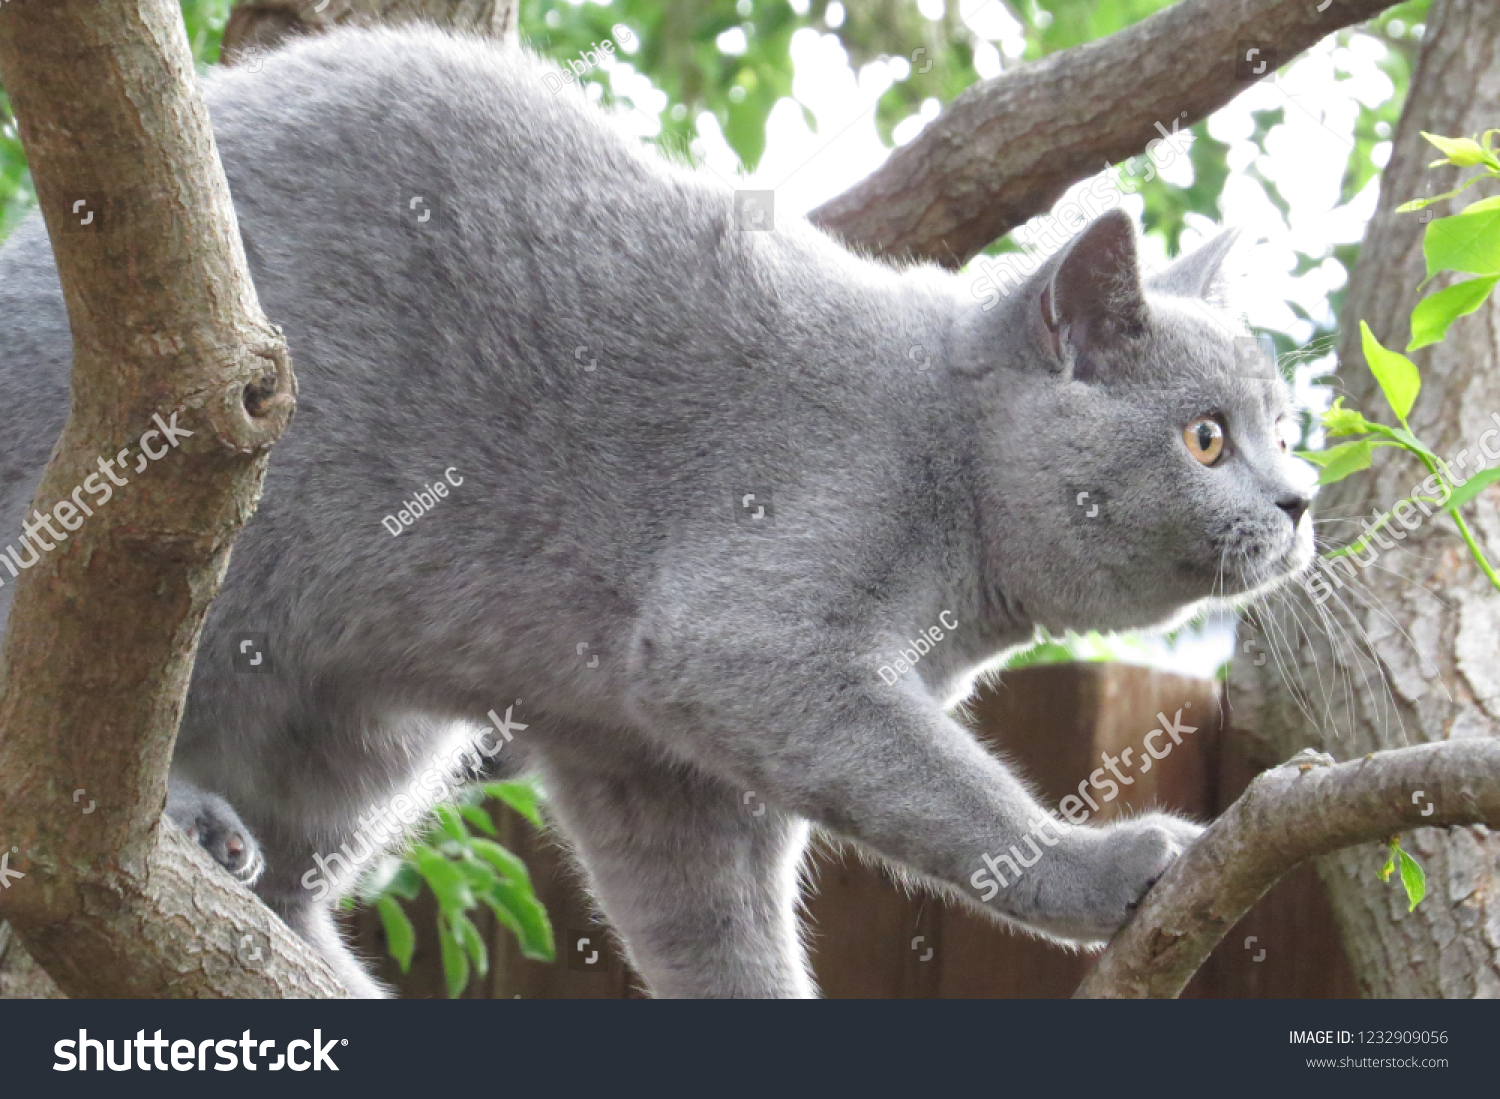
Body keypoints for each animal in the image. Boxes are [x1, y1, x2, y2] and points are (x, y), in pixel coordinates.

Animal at [0, 29, 1314, 1001]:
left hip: (367, 729)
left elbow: (715, 931)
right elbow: (954, 796)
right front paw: (1103, 867)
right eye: (1206, 436)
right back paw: (183, 816)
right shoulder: (749, 633)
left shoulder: (645, 761)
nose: (1301, 498)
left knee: (285, 888)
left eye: (1285, 425)